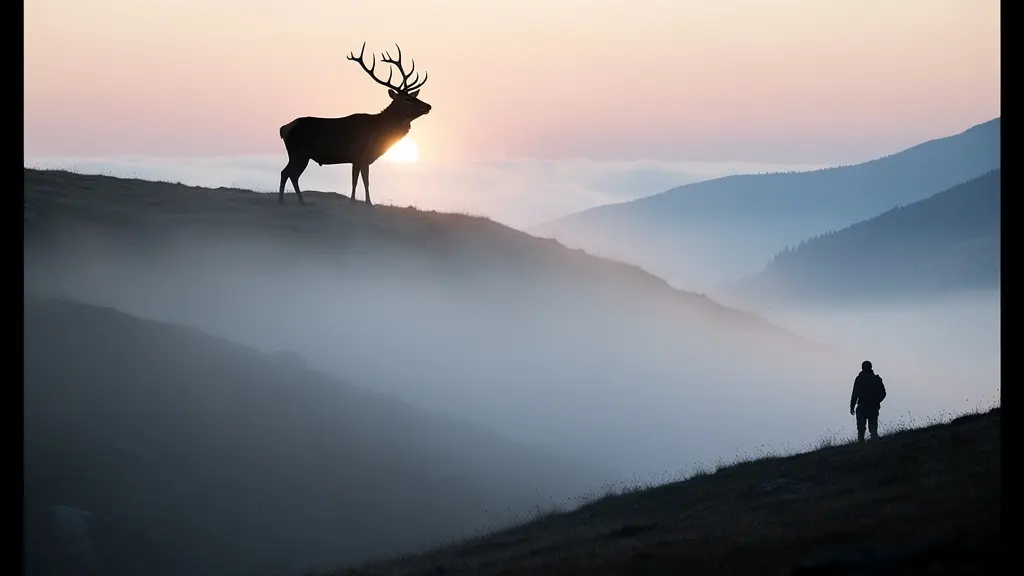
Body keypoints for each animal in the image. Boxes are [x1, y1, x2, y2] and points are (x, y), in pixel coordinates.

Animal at [277, 42, 432, 206]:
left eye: (414, 97)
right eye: (407, 99)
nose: (428, 106)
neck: (379, 133)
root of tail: (284, 129)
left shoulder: (357, 159)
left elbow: (356, 180)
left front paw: (355, 201)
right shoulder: (361, 155)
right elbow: (363, 181)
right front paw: (367, 203)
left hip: (299, 154)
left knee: (290, 174)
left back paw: (298, 200)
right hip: (299, 152)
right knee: (288, 173)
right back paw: (285, 200)